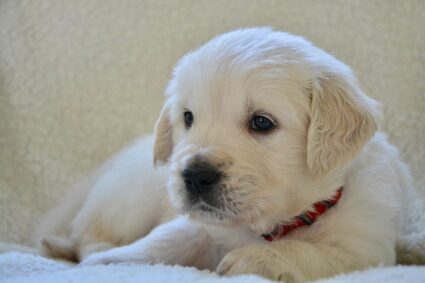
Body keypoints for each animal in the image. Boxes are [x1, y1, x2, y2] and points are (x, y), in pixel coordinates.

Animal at [34, 27, 418, 283]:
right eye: (188, 117)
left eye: (262, 122)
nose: (194, 176)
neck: (269, 225)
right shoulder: (197, 225)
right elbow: (165, 238)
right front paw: (112, 262)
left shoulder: (366, 250)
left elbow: (315, 253)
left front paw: (252, 259)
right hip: (129, 199)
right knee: (85, 231)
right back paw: (88, 249)